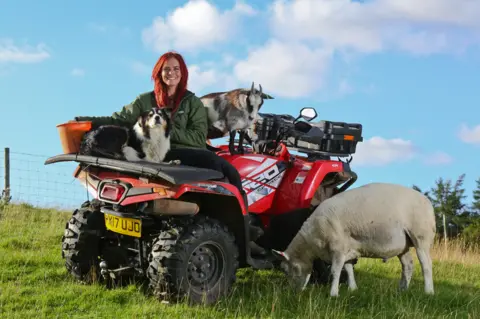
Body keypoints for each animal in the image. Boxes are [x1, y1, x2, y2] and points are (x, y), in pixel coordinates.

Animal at [274, 182, 436, 298]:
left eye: (288, 269)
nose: (294, 292)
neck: (311, 242)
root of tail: (428, 202)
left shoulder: (338, 247)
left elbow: (335, 271)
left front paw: (333, 294)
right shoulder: (348, 247)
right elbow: (348, 269)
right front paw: (353, 289)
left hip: (421, 237)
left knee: (426, 264)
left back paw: (428, 291)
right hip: (403, 245)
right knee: (408, 265)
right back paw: (402, 290)